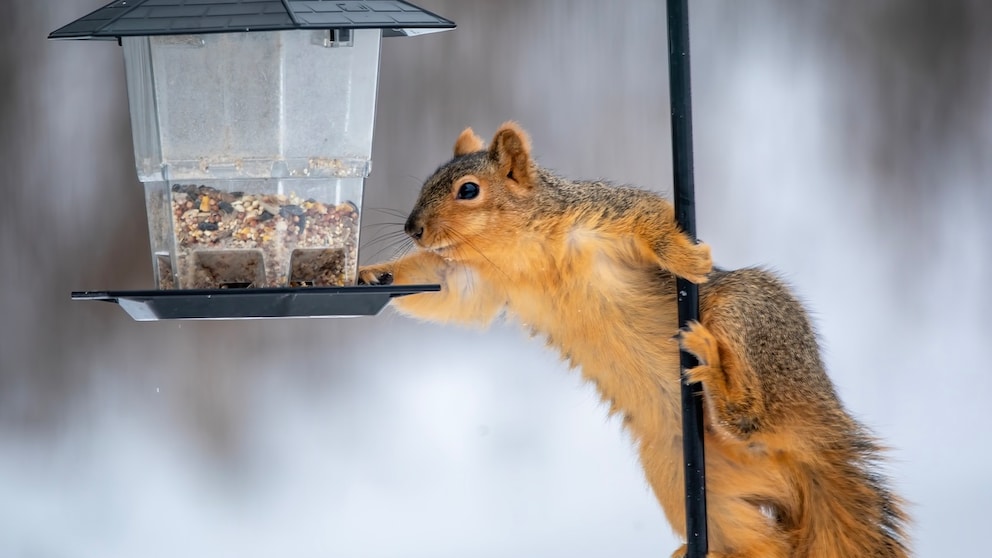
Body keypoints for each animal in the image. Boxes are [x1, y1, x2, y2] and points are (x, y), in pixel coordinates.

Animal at [358, 122, 909, 558]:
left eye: (468, 190)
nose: (413, 229)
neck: (517, 249)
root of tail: (815, 438)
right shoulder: (479, 282)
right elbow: (448, 294)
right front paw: (374, 274)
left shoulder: (601, 213)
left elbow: (651, 217)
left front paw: (685, 256)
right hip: (683, 474)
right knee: (765, 545)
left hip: (747, 314)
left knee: (751, 418)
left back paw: (714, 369)